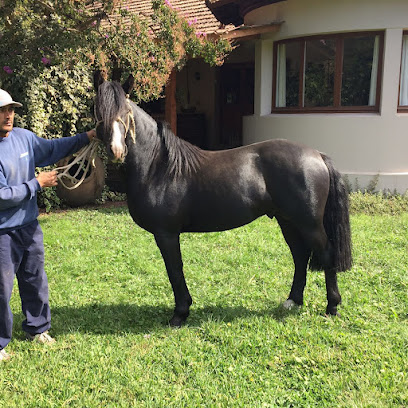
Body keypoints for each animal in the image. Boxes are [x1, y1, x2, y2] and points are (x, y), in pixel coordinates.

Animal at [93, 74, 350, 328]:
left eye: (126, 111)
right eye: (98, 111)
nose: (116, 150)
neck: (159, 167)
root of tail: (317, 155)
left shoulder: (166, 233)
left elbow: (174, 270)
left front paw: (180, 313)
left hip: (309, 224)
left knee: (326, 254)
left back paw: (332, 307)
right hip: (287, 220)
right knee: (300, 255)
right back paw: (293, 300)